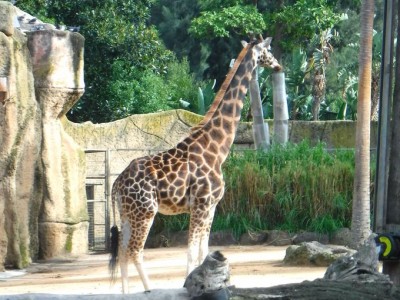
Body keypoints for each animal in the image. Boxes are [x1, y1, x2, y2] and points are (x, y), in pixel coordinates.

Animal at [108, 35, 282, 292]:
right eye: (268, 51)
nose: (279, 66)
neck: (217, 149)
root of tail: (117, 183)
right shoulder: (201, 204)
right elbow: (192, 252)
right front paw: (190, 284)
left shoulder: (211, 206)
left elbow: (203, 251)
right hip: (145, 211)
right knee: (134, 251)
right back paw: (149, 289)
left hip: (127, 213)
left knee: (121, 250)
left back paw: (127, 292)